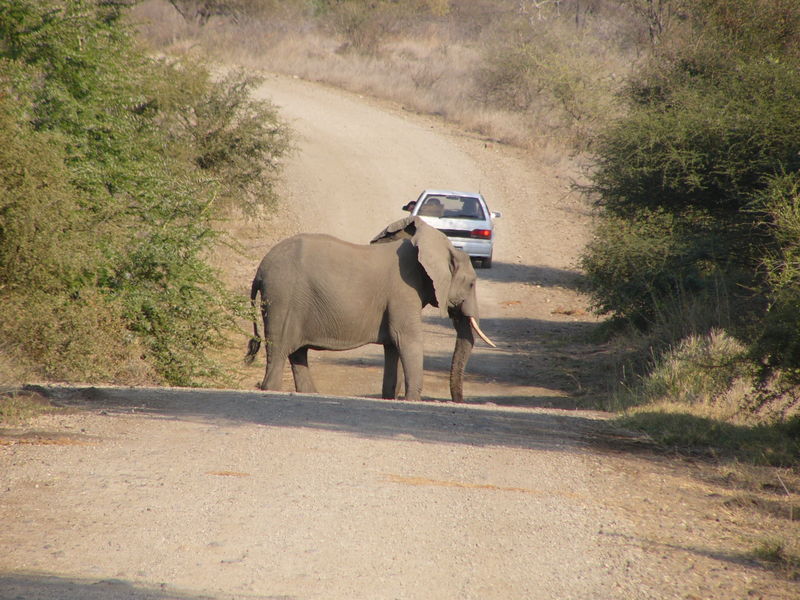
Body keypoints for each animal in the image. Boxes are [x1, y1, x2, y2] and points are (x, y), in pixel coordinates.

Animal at [244, 216, 494, 404]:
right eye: (472, 284)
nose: (458, 401)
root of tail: (260, 270)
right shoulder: (403, 291)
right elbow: (407, 339)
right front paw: (412, 401)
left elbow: (394, 346)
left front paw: (389, 398)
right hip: (282, 297)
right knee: (280, 350)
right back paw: (271, 389)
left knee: (297, 353)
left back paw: (310, 394)